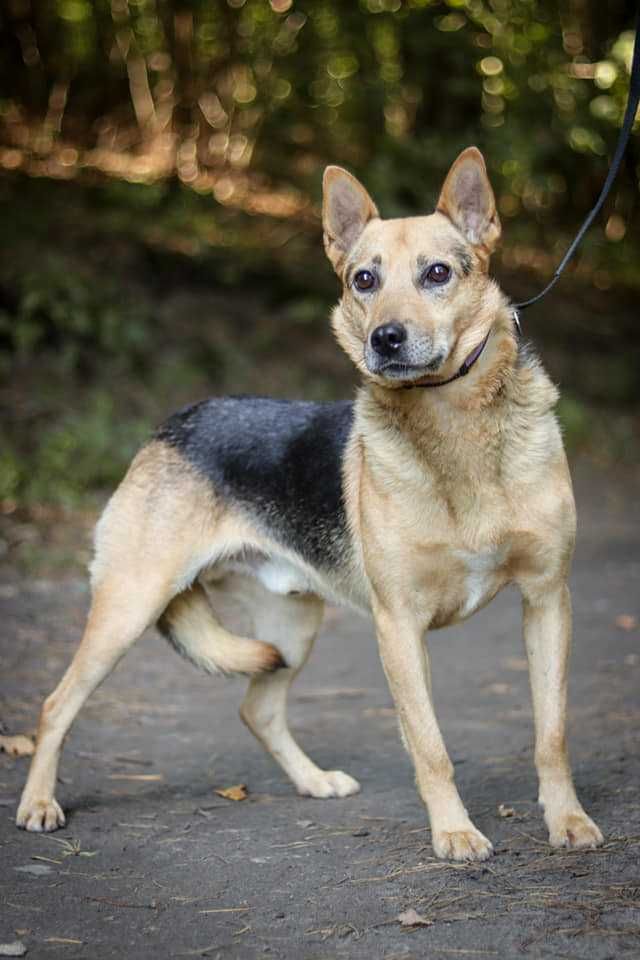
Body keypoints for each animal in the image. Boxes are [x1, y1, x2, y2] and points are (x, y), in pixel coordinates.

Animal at [17, 150, 604, 864]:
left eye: (437, 273)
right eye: (363, 280)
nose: (385, 339)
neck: (455, 428)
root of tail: (170, 424)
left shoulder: (547, 600)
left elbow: (553, 733)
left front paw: (567, 820)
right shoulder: (399, 626)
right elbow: (430, 746)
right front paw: (455, 832)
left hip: (291, 625)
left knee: (257, 709)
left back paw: (313, 780)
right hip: (129, 606)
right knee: (56, 704)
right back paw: (38, 804)